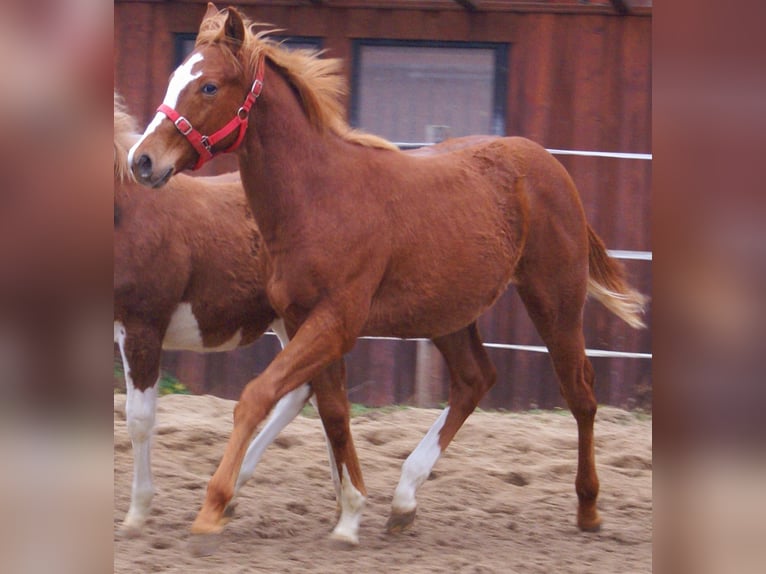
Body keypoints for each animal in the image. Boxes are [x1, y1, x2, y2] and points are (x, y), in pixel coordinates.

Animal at [128, 4, 647, 547]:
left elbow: (257, 396)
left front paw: (213, 508)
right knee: (474, 380)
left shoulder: (336, 320)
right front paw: (350, 515)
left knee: (579, 391)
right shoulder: (304, 320)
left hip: (554, 299)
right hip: (448, 314)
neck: (319, 197)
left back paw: (588, 508)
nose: (142, 161)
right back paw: (403, 500)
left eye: (208, 86)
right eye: (174, 78)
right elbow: (333, 412)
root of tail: (549, 164)